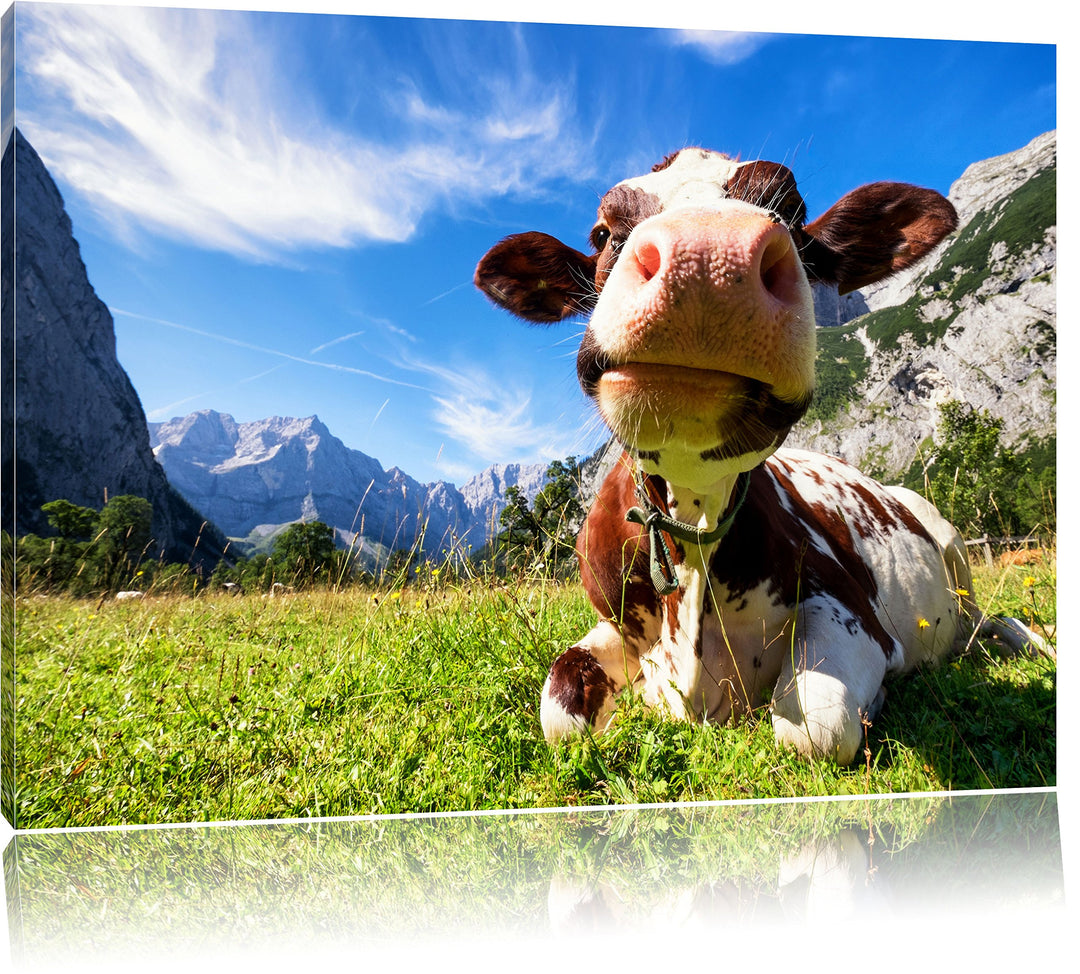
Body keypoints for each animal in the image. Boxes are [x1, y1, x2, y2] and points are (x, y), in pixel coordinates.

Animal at [475, 147, 1048, 765]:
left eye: (793, 213)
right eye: (603, 232)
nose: (707, 256)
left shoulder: (851, 610)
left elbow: (814, 725)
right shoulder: (616, 626)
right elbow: (559, 708)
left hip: (952, 543)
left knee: (986, 619)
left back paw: (1023, 642)